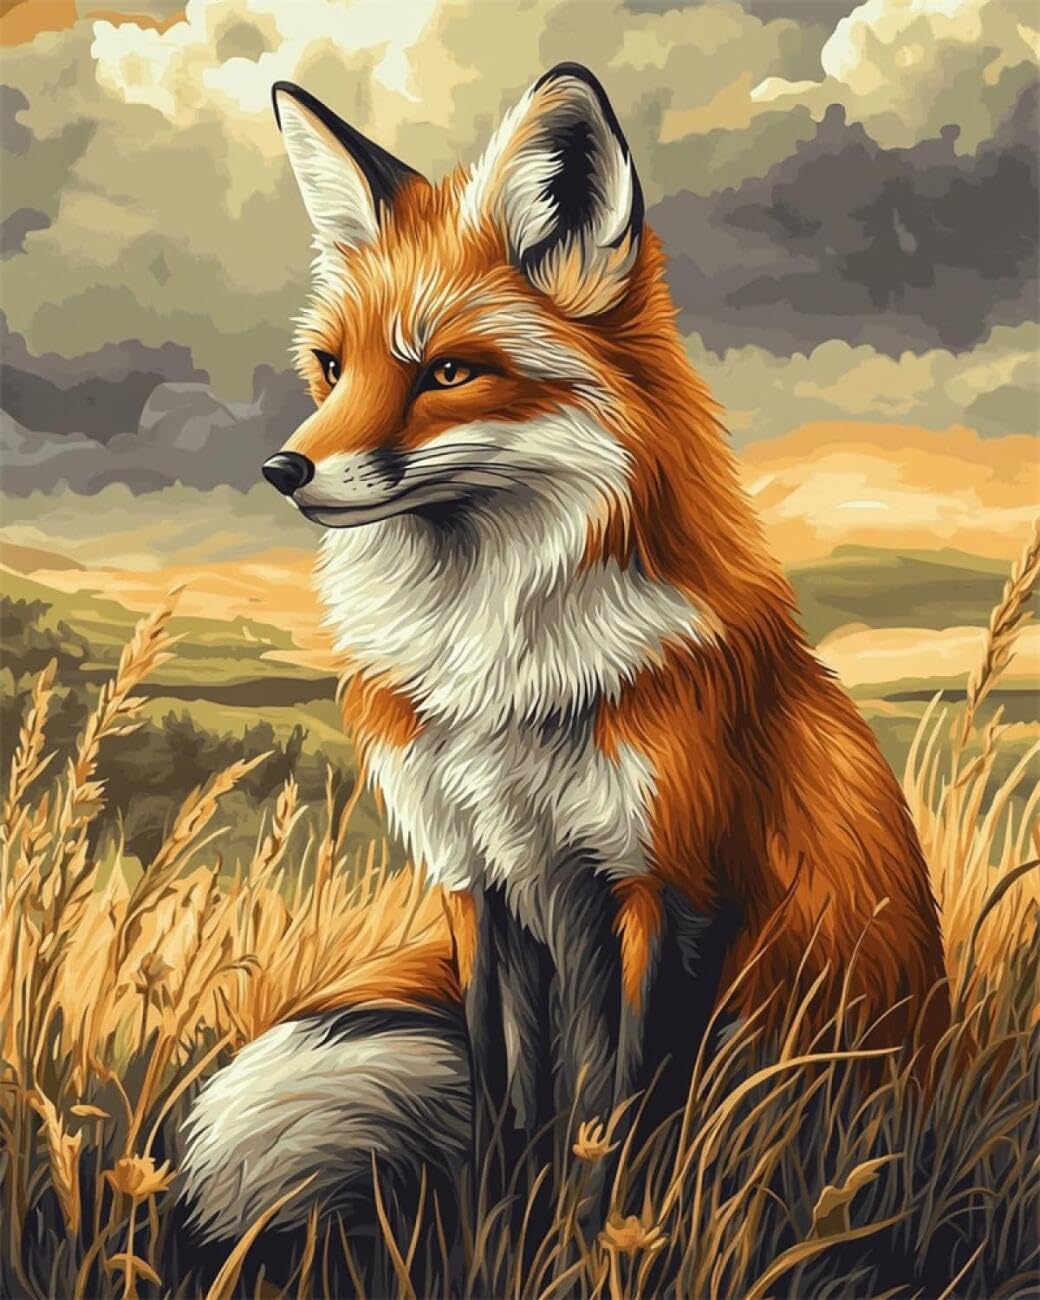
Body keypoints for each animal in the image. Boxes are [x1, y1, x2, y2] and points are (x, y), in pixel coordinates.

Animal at [180, 62, 950, 1246]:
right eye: (330, 367)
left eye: (448, 370)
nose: (283, 468)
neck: (495, 677)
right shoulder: (477, 885)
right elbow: (507, 1113)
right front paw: (492, 1243)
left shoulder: (668, 886)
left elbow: (614, 1124)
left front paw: (599, 1250)